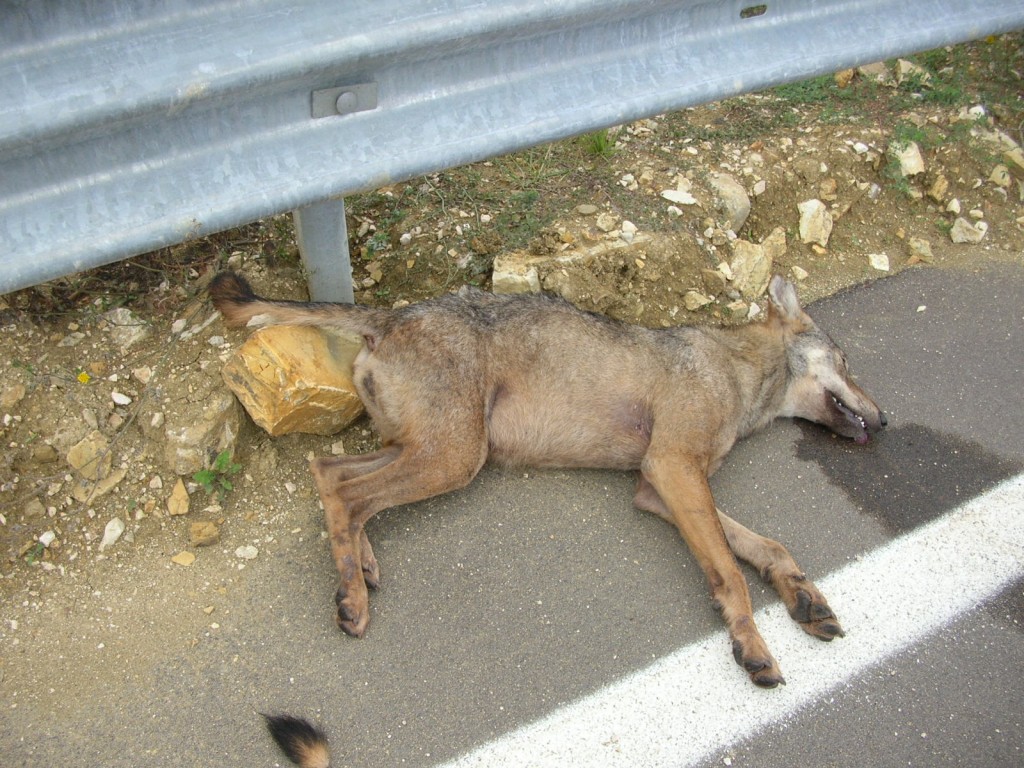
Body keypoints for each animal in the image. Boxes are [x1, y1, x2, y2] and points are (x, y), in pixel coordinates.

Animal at [211, 271, 884, 698]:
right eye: (848, 362)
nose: (883, 420)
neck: (739, 372)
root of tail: (395, 312)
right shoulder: (671, 471)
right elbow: (731, 574)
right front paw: (754, 646)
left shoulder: (660, 488)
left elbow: (768, 548)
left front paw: (804, 596)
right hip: (455, 459)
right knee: (344, 492)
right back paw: (353, 596)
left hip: (428, 449)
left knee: (333, 478)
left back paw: (363, 564)